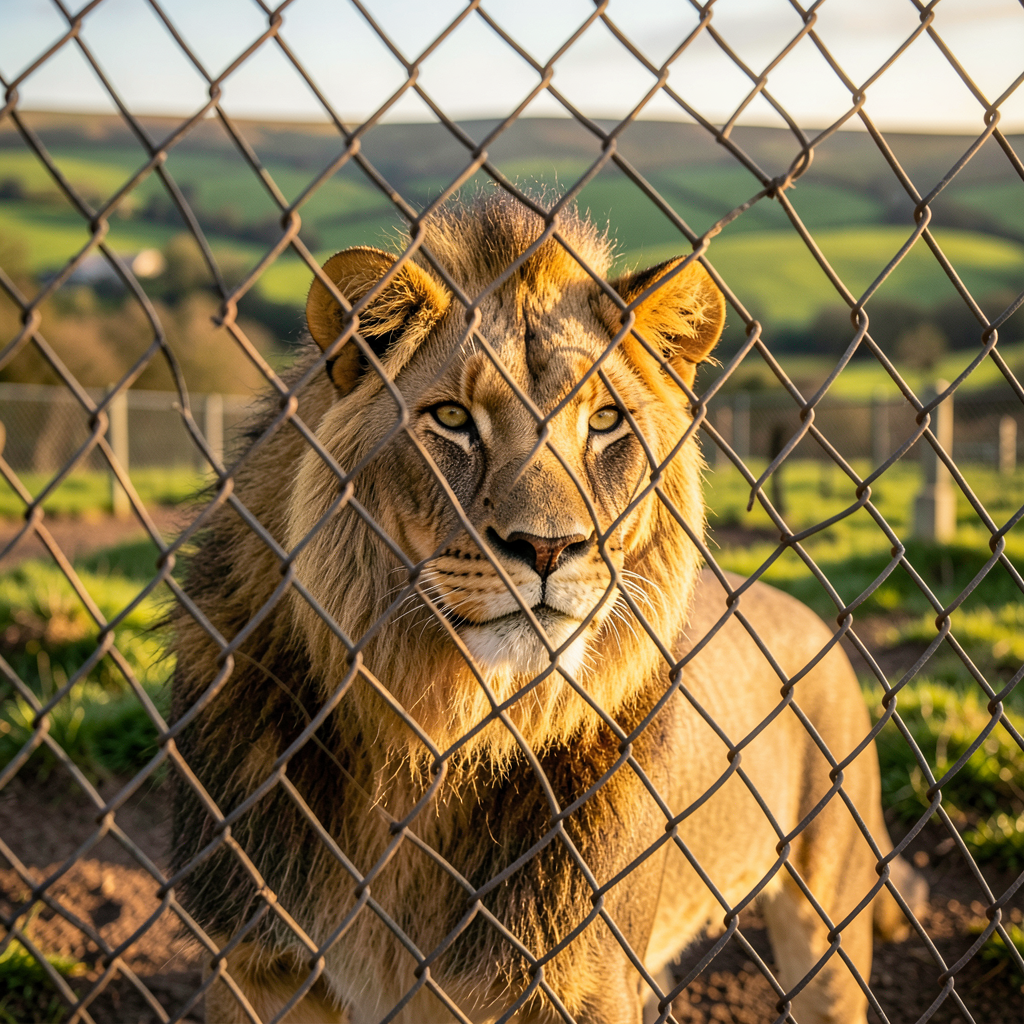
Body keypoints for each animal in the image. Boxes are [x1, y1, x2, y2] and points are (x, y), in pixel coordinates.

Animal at [170, 194, 921, 1024]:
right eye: (452, 420)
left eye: (605, 422)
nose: (549, 547)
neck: (433, 745)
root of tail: (810, 615)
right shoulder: (254, 965)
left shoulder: (585, 983)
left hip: (827, 919)